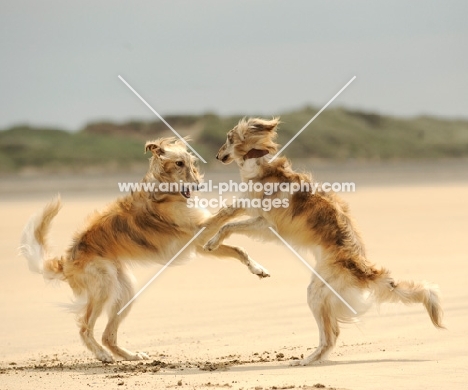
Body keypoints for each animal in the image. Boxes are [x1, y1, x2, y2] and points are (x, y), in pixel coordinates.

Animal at [20, 136, 268, 362]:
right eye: (178, 163)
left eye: (191, 162)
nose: (198, 186)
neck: (166, 192)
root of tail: (66, 261)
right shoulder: (200, 231)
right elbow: (228, 212)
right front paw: (247, 200)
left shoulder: (201, 244)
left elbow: (239, 249)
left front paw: (258, 268)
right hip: (104, 287)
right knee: (84, 327)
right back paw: (102, 355)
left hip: (126, 290)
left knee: (108, 335)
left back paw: (129, 356)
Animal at [207, 118, 444, 366]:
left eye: (228, 138)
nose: (216, 156)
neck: (261, 166)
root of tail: (363, 268)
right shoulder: (246, 204)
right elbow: (222, 217)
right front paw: (207, 230)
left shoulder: (266, 225)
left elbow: (228, 226)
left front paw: (213, 242)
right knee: (334, 333)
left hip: (316, 292)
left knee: (330, 336)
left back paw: (307, 360)